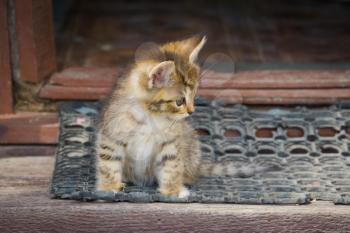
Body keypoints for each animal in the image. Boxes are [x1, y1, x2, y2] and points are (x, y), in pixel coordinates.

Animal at [95, 36, 278, 197]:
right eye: (180, 101)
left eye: (194, 95)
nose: (192, 111)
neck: (149, 117)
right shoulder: (111, 135)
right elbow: (108, 163)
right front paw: (109, 187)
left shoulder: (171, 141)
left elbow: (171, 165)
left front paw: (172, 190)